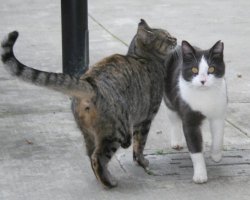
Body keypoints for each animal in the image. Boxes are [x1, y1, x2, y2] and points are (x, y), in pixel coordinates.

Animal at [1, 19, 178, 188]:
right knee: (97, 158)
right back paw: (109, 183)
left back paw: (105, 178)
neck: (142, 57)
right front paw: (142, 161)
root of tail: (90, 83)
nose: (175, 38)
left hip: (89, 133)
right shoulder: (146, 118)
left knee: (91, 156)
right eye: (168, 37)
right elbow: (140, 144)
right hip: (115, 133)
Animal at [163, 40, 228, 183]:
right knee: (173, 117)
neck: (204, 95)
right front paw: (200, 175)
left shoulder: (219, 113)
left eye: (211, 69)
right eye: (194, 70)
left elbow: (218, 136)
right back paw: (176, 141)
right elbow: (195, 147)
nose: (203, 81)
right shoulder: (189, 119)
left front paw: (216, 155)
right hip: (169, 97)